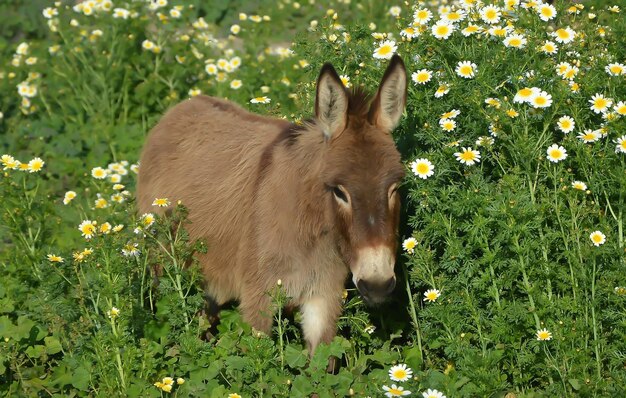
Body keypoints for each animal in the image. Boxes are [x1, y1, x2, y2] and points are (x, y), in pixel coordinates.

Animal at [137, 54, 408, 352]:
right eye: (339, 191)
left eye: (395, 187)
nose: (378, 285)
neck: (309, 227)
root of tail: (180, 108)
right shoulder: (257, 299)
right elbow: (258, 361)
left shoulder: (324, 298)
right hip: (167, 268)